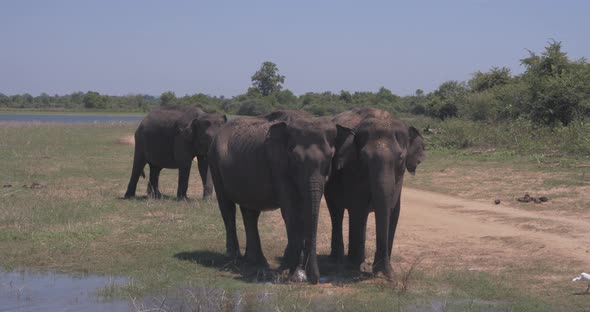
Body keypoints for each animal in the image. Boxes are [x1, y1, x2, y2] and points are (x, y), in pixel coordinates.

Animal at [209, 111, 354, 284]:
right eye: (295, 158)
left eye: (330, 157)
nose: (316, 279)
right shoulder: (278, 164)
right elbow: (291, 210)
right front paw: (297, 276)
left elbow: (304, 210)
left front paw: (293, 270)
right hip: (215, 162)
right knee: (227, 206)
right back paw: (234, 259)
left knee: (250, 212)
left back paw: (256, 262)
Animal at [326, 108, 428, 280]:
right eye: (364, 158)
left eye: (400, 159)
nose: (382, 275)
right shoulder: (352, 170)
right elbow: (358, 208)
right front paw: (355, 268)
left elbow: (393, 212)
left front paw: (386, 274)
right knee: (336, 212)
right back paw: (339, 260)